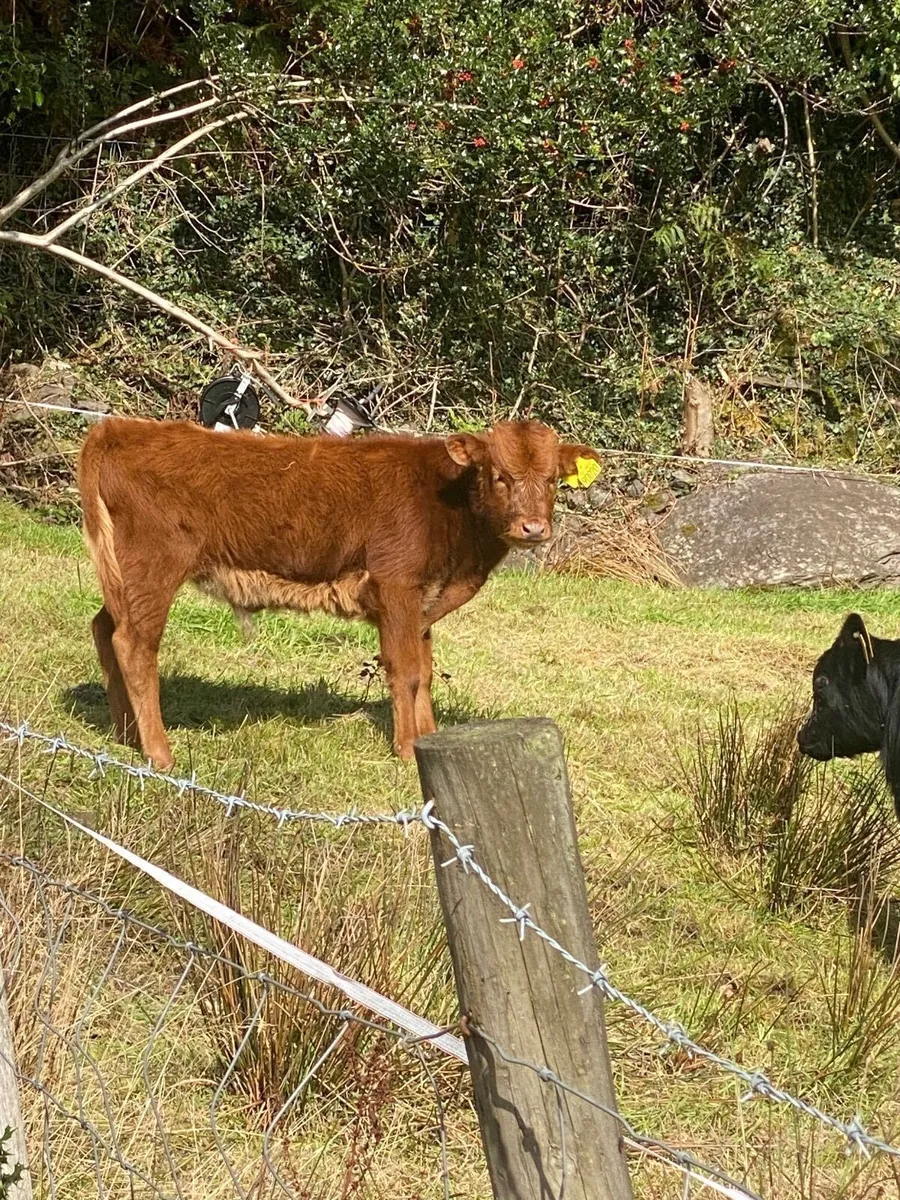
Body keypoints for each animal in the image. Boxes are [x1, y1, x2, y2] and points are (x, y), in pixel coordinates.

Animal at [78, 417, 600, 768]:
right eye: (499, 476)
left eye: (553, 479)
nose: (533, 528)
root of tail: (120, 427)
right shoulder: (396, 586)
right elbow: (407, 671)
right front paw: (406, 749)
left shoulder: (422, 601)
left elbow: (426, 671)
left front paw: (429, 738)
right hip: (154, 565)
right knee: (135, 644)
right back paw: (160, 753)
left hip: (125, 575)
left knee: (105, 629)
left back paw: (126, 735)